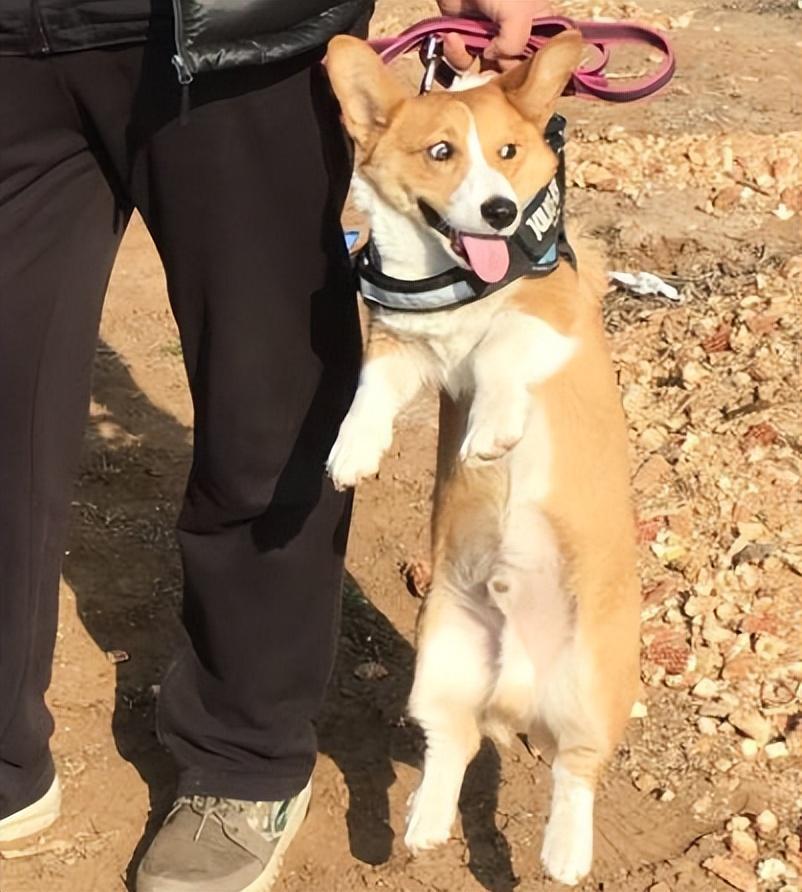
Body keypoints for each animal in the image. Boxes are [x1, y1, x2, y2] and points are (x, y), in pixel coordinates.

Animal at [325, 30, 640, 886]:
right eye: (441, 152)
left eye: (507, 152)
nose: (498, 211)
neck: (459, 277)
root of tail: (518, 689)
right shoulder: (401, 350)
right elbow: (368, 392)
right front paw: (351, 453)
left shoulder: (549, 320)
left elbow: (501, 348)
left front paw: (493, 434)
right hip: (441, 660)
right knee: (454, 743)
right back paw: (423, 822)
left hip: (592, 683)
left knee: (576, 768)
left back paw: (565, 852)